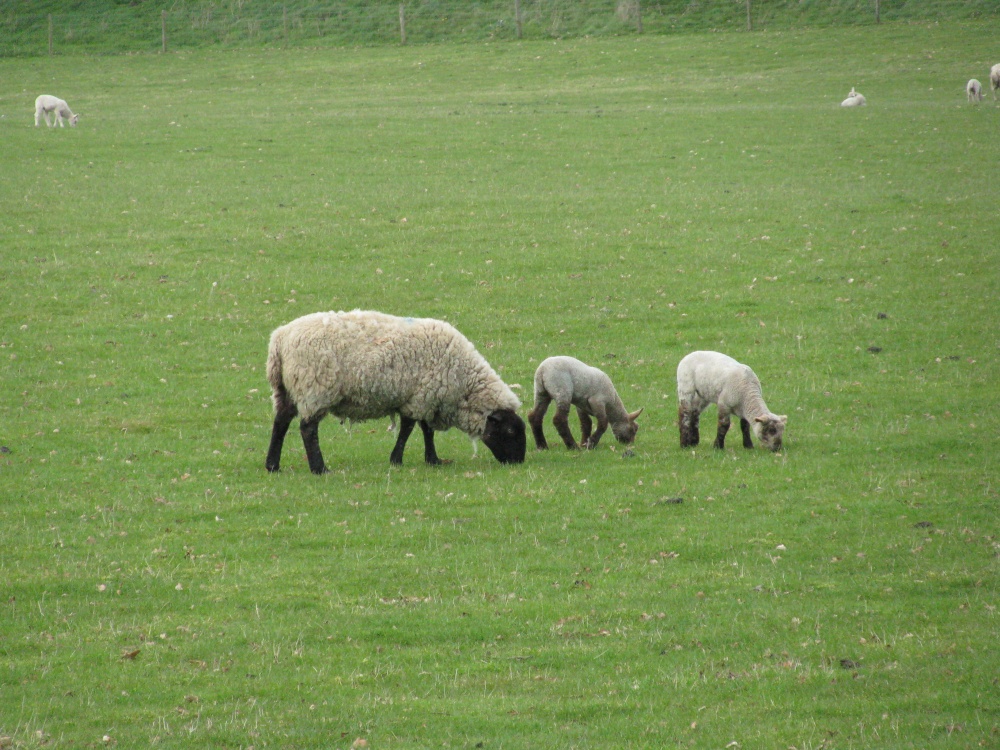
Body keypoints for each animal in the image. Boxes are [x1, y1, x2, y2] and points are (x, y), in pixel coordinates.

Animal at [265, 310, 526, 474]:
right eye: (510, 430)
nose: (518, 461)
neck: (463, 381)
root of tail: (280, 339)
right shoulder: (421, 397)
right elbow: (409, 428)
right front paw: (397, 459)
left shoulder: (427, 396)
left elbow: (426, 430)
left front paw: (433, 459)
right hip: (314, 388)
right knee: (307, 429)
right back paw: (320, 469)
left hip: (286, 390)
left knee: (281, 423)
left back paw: (272, 465)